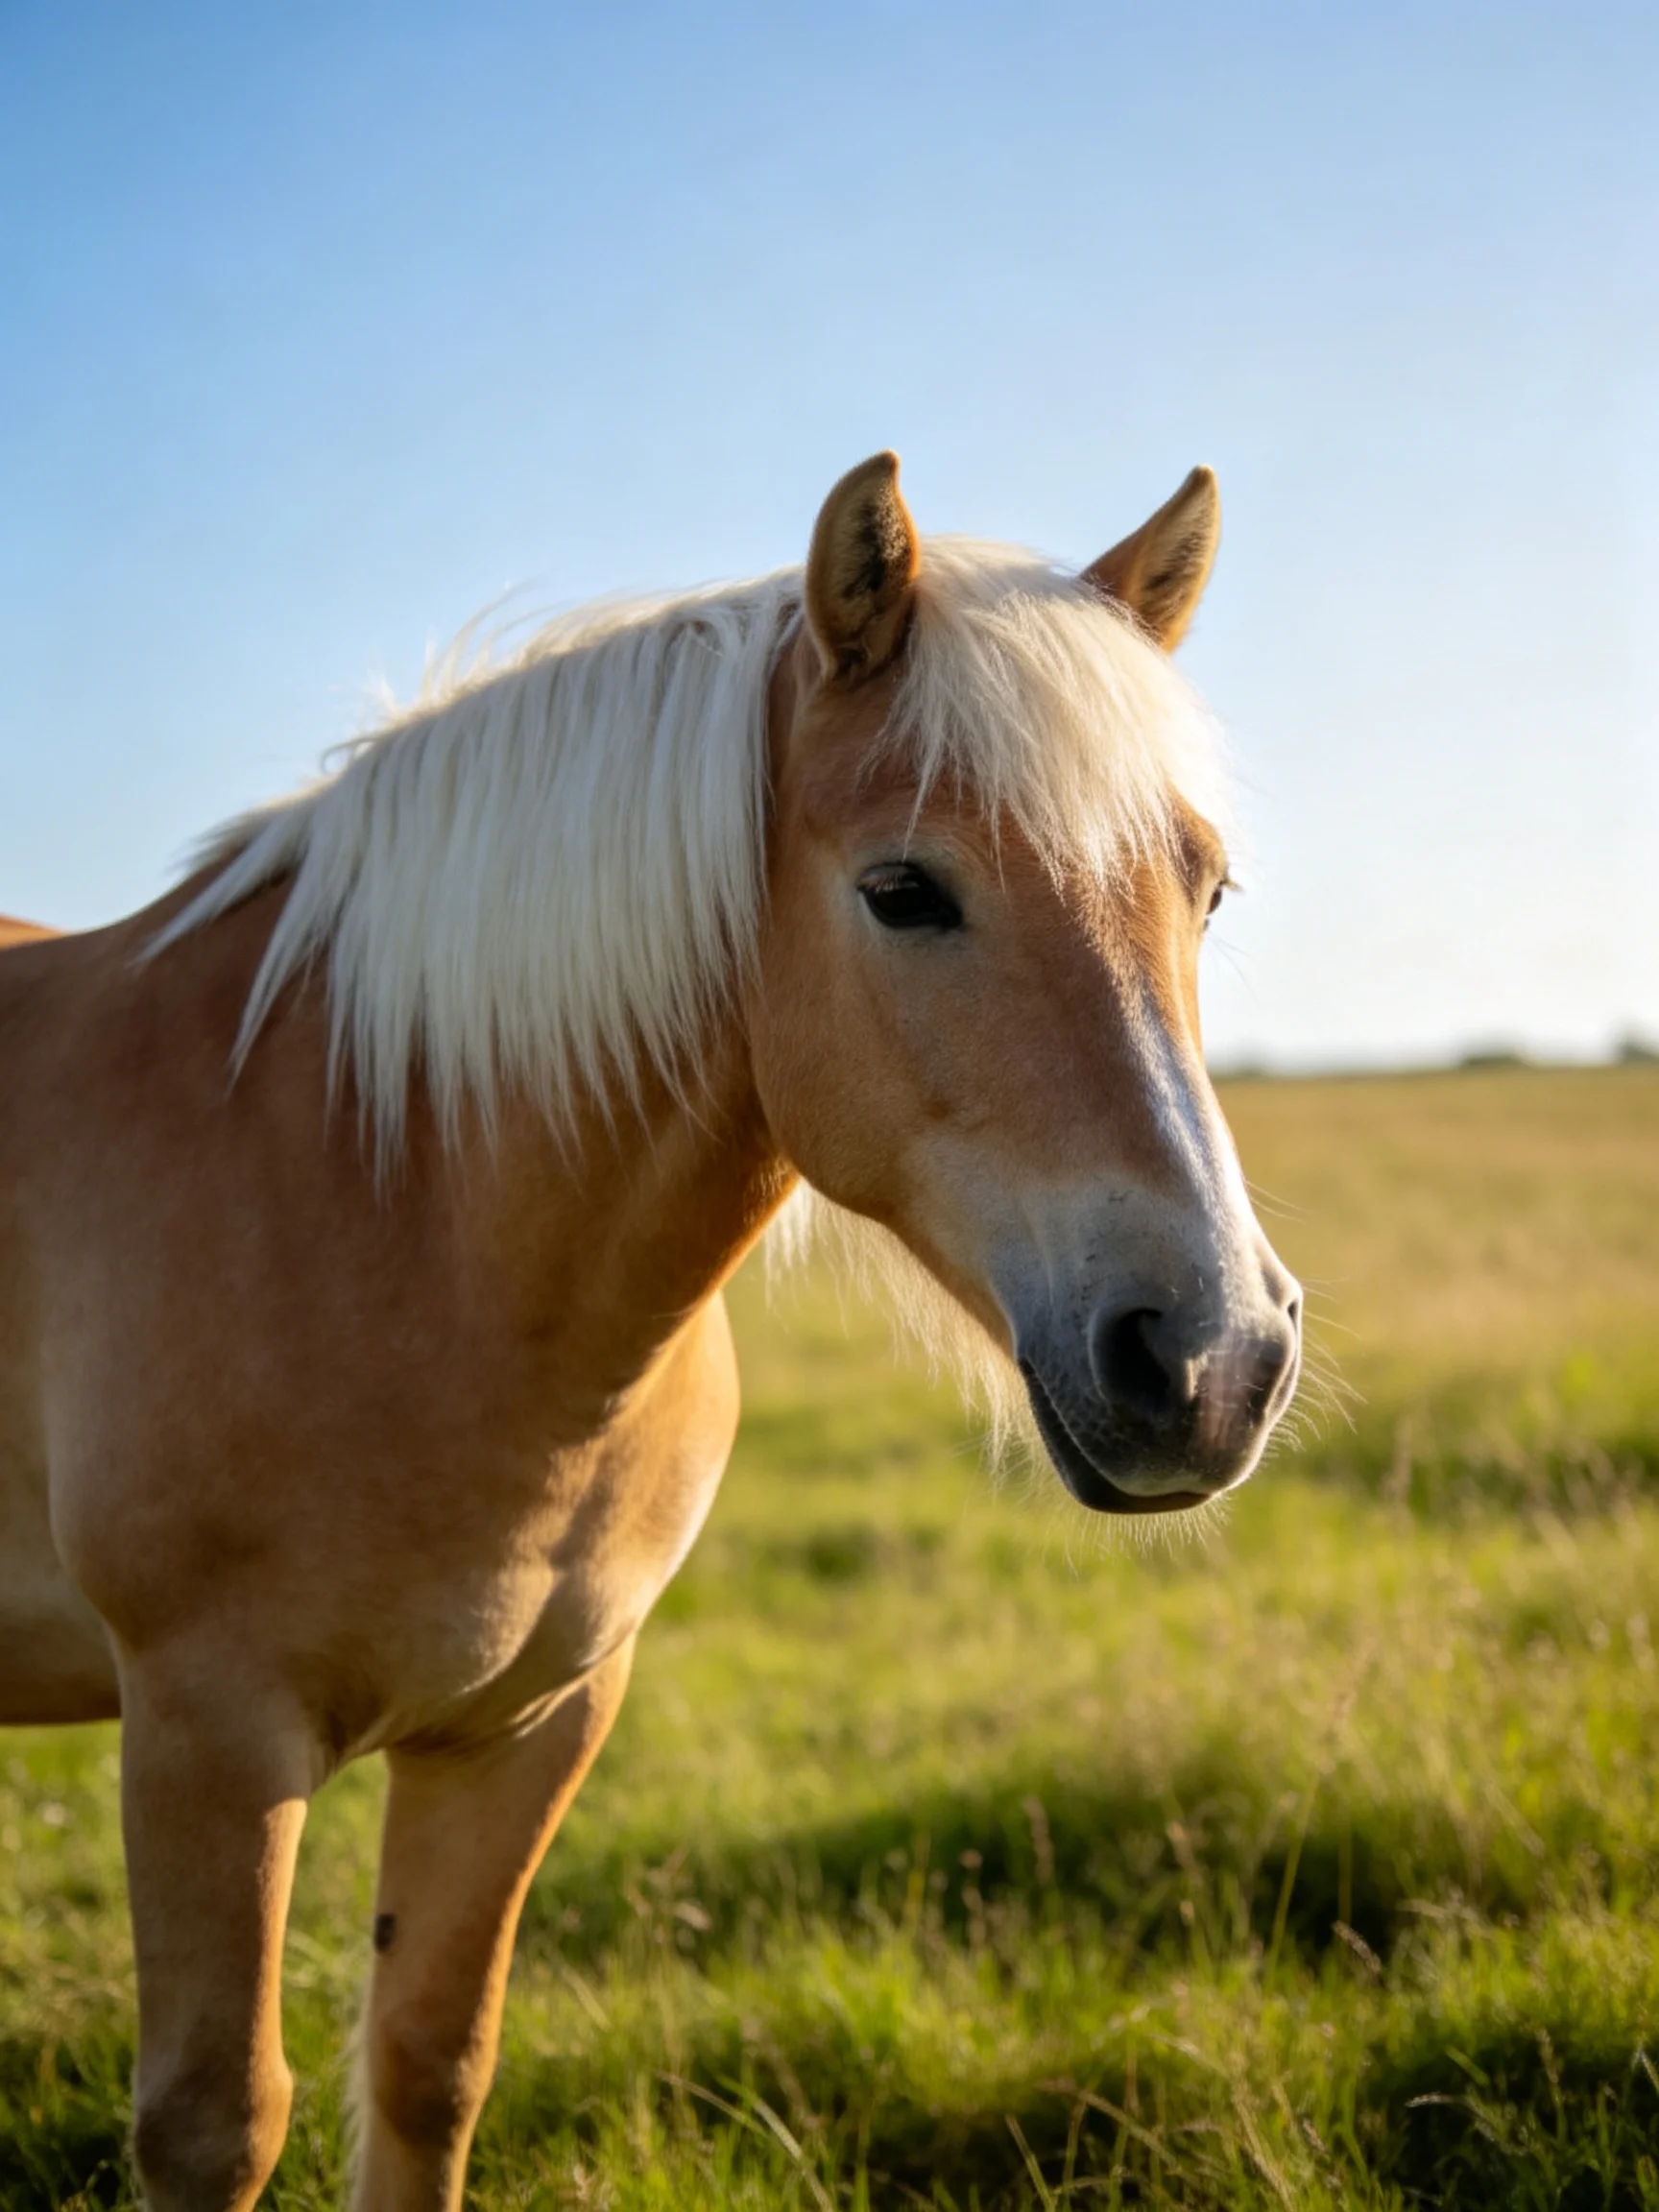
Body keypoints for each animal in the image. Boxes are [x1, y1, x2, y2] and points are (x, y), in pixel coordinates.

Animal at [0, 453, 1300, 2210]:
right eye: (904, 890)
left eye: (1204, 887)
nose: (1212, 1361)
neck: (391, 1197)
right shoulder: (205, 1734)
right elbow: (217, 2117)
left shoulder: (527, 1727)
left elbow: (428, 2065)